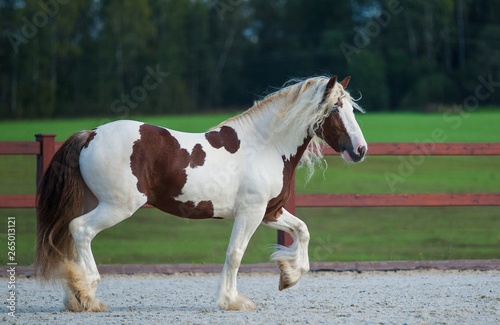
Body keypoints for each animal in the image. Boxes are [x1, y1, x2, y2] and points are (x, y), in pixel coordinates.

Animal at [34, 74, 368, 310]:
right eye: (335, 108)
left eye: (351, 108)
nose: (361, 150)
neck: (266, 145)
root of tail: (90, 134)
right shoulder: (250, 212)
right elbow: (235, 254)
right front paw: (233, 301)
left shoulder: (269, 211)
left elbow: (303, 230)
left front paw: (289, 275)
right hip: (118, 206)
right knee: (80, 230)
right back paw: (87, 296)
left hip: (97, 202)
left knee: (73, 238)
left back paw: (75, 297)